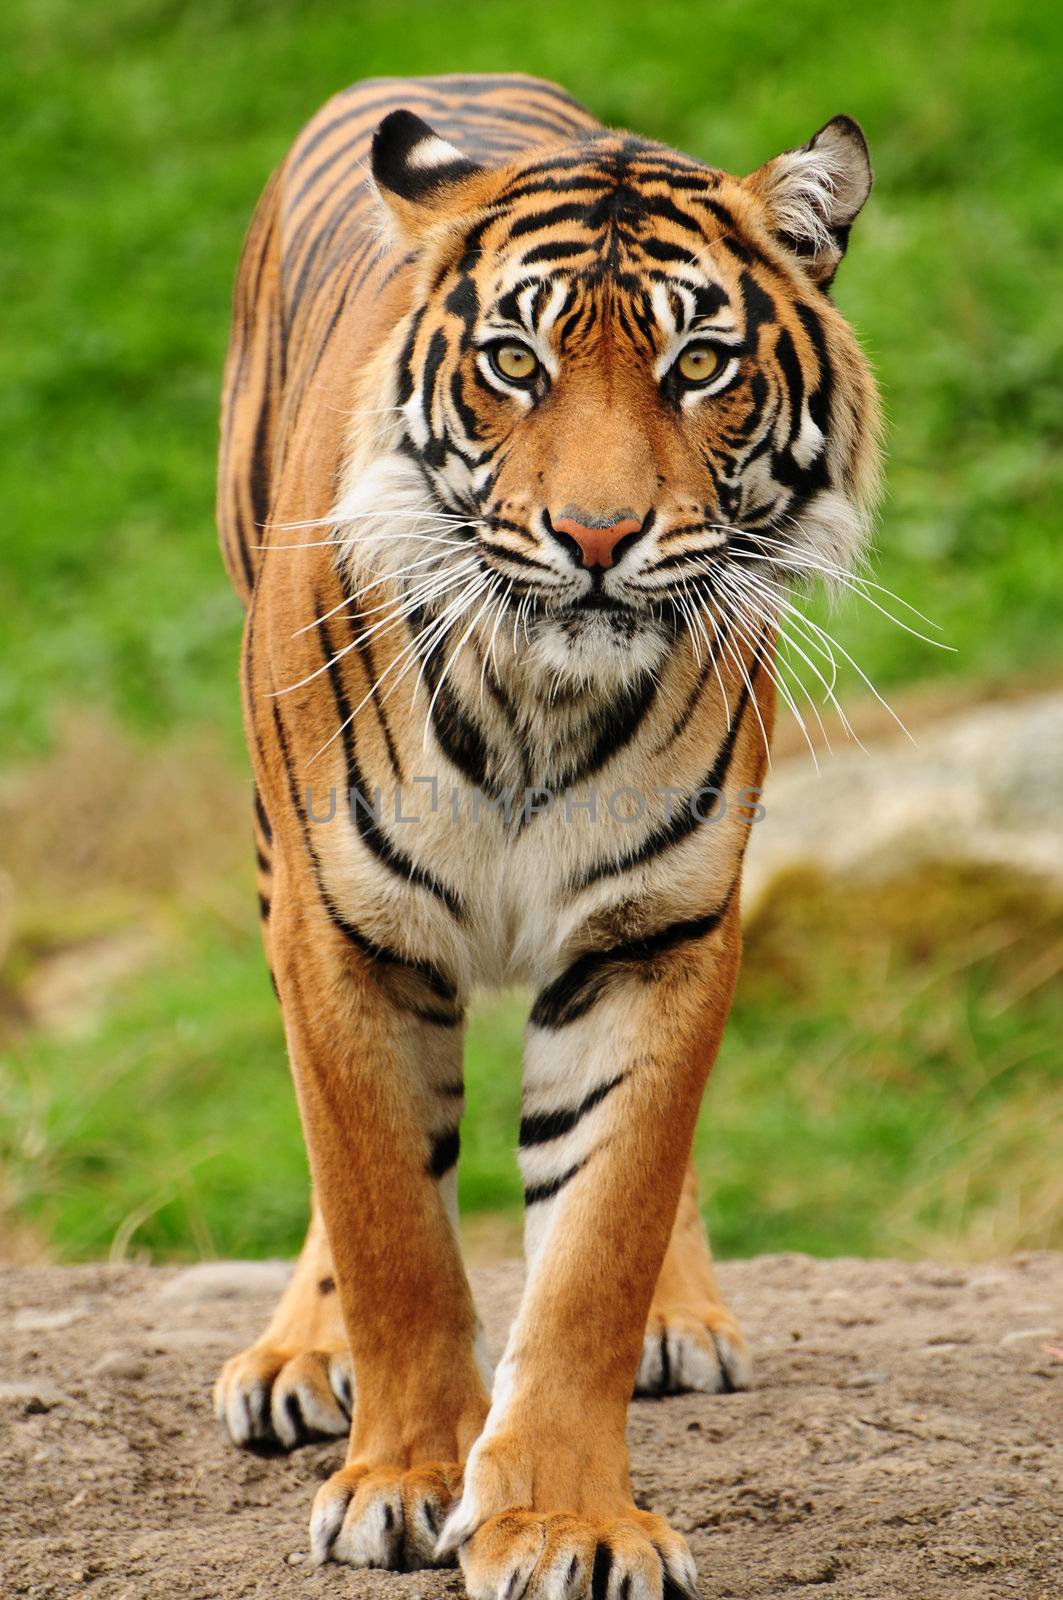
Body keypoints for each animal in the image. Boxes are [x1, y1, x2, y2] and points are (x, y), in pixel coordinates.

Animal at [209, 72, 877, 1600]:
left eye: (700, 364)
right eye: (513, 362)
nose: (595, 534)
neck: (538, 698)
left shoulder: (660, 928)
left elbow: (597, 1238)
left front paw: (570, 1521)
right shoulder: (341, 925)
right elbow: (388, 1224)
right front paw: (398, 1481)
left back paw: (681, 1323)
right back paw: (298, 1357)